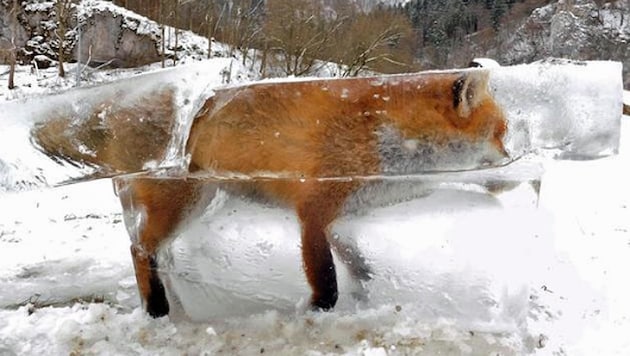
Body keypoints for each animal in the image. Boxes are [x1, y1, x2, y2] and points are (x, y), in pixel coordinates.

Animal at [32, 69, 512, 318]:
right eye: (501, 134)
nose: (512, 164)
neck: (379, 135)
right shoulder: (313, 210)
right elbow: (326, 277)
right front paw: (317, 310)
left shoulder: (341, 216)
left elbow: (355, 261)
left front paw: (366, 286)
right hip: (182, 202)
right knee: (138, 249)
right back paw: (157, 307)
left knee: (148, 247)